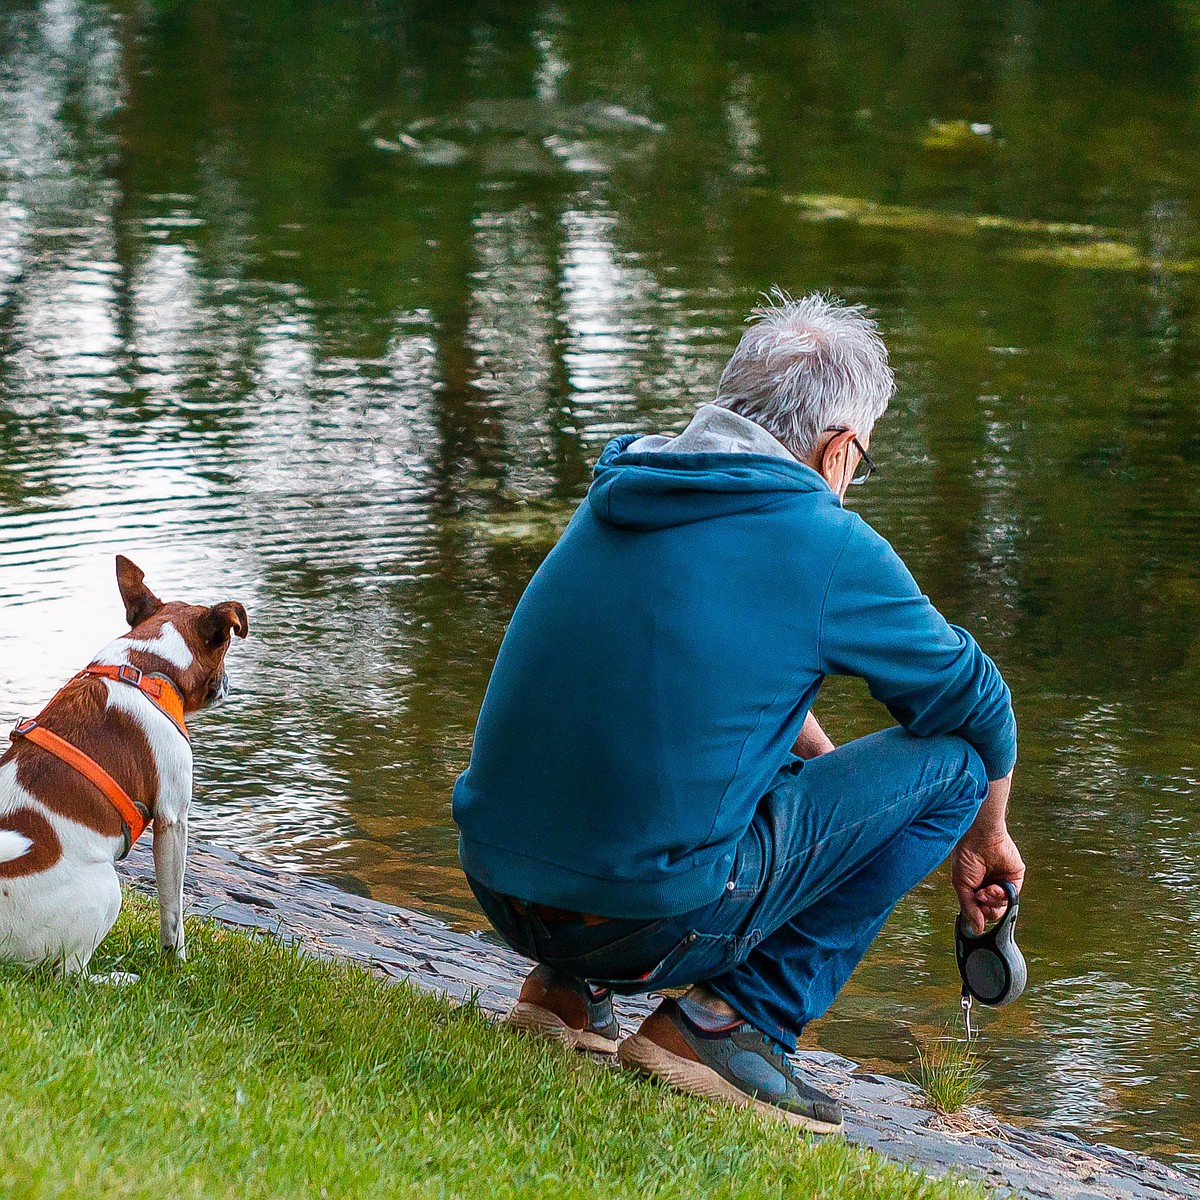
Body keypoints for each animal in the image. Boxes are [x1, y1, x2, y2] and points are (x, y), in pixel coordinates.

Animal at [0, 556, 247, 979]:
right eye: (227, 650)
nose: (229, 684)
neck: (147, 665)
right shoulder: (172, 819)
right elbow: (173, 912)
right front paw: (176, 964)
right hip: (106, 890)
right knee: (70, 975)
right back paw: (118, 978)